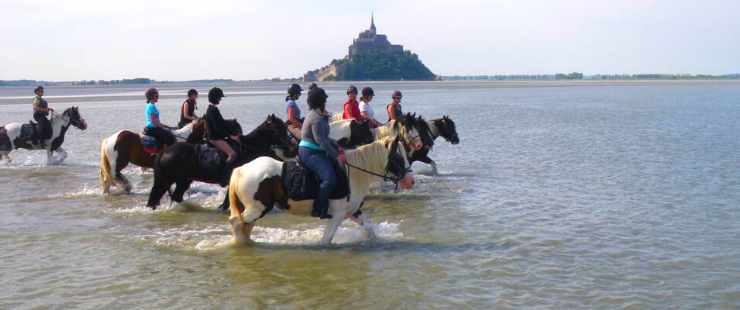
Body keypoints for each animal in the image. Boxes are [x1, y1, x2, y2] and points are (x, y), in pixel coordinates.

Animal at [145, 115, 294, 209]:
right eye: (279, 128)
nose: (290, 146)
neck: (247, 149)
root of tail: (165, 151)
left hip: (178, 180)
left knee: (167, 197)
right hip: (174, 180)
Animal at [228, 136, 414, 245]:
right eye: (398, 156)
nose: (410, 180)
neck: (353, 174)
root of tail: (241, 169)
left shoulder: (353, 211)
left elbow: (369, 228)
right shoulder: (338, 215)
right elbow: (326, 240)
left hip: (257, 210)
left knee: (246, 226)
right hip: (257, 208)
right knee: (235, 221)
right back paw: (239, 242)